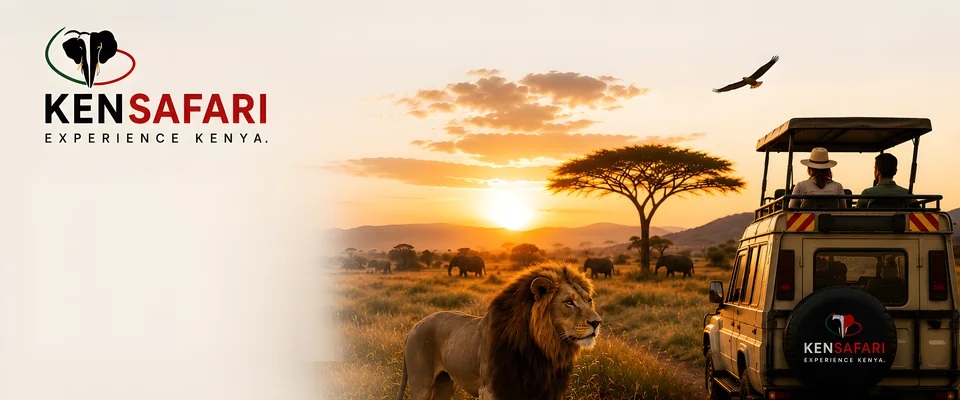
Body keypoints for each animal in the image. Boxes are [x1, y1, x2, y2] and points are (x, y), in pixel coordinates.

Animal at [395, 261, 602, 400]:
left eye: (589, 300)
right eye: (569, 302)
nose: (597, 322)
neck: (542, 350)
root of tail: (413, 328)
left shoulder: (545, 391)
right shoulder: (492, 389)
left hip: (444, 384)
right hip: (421, 384)